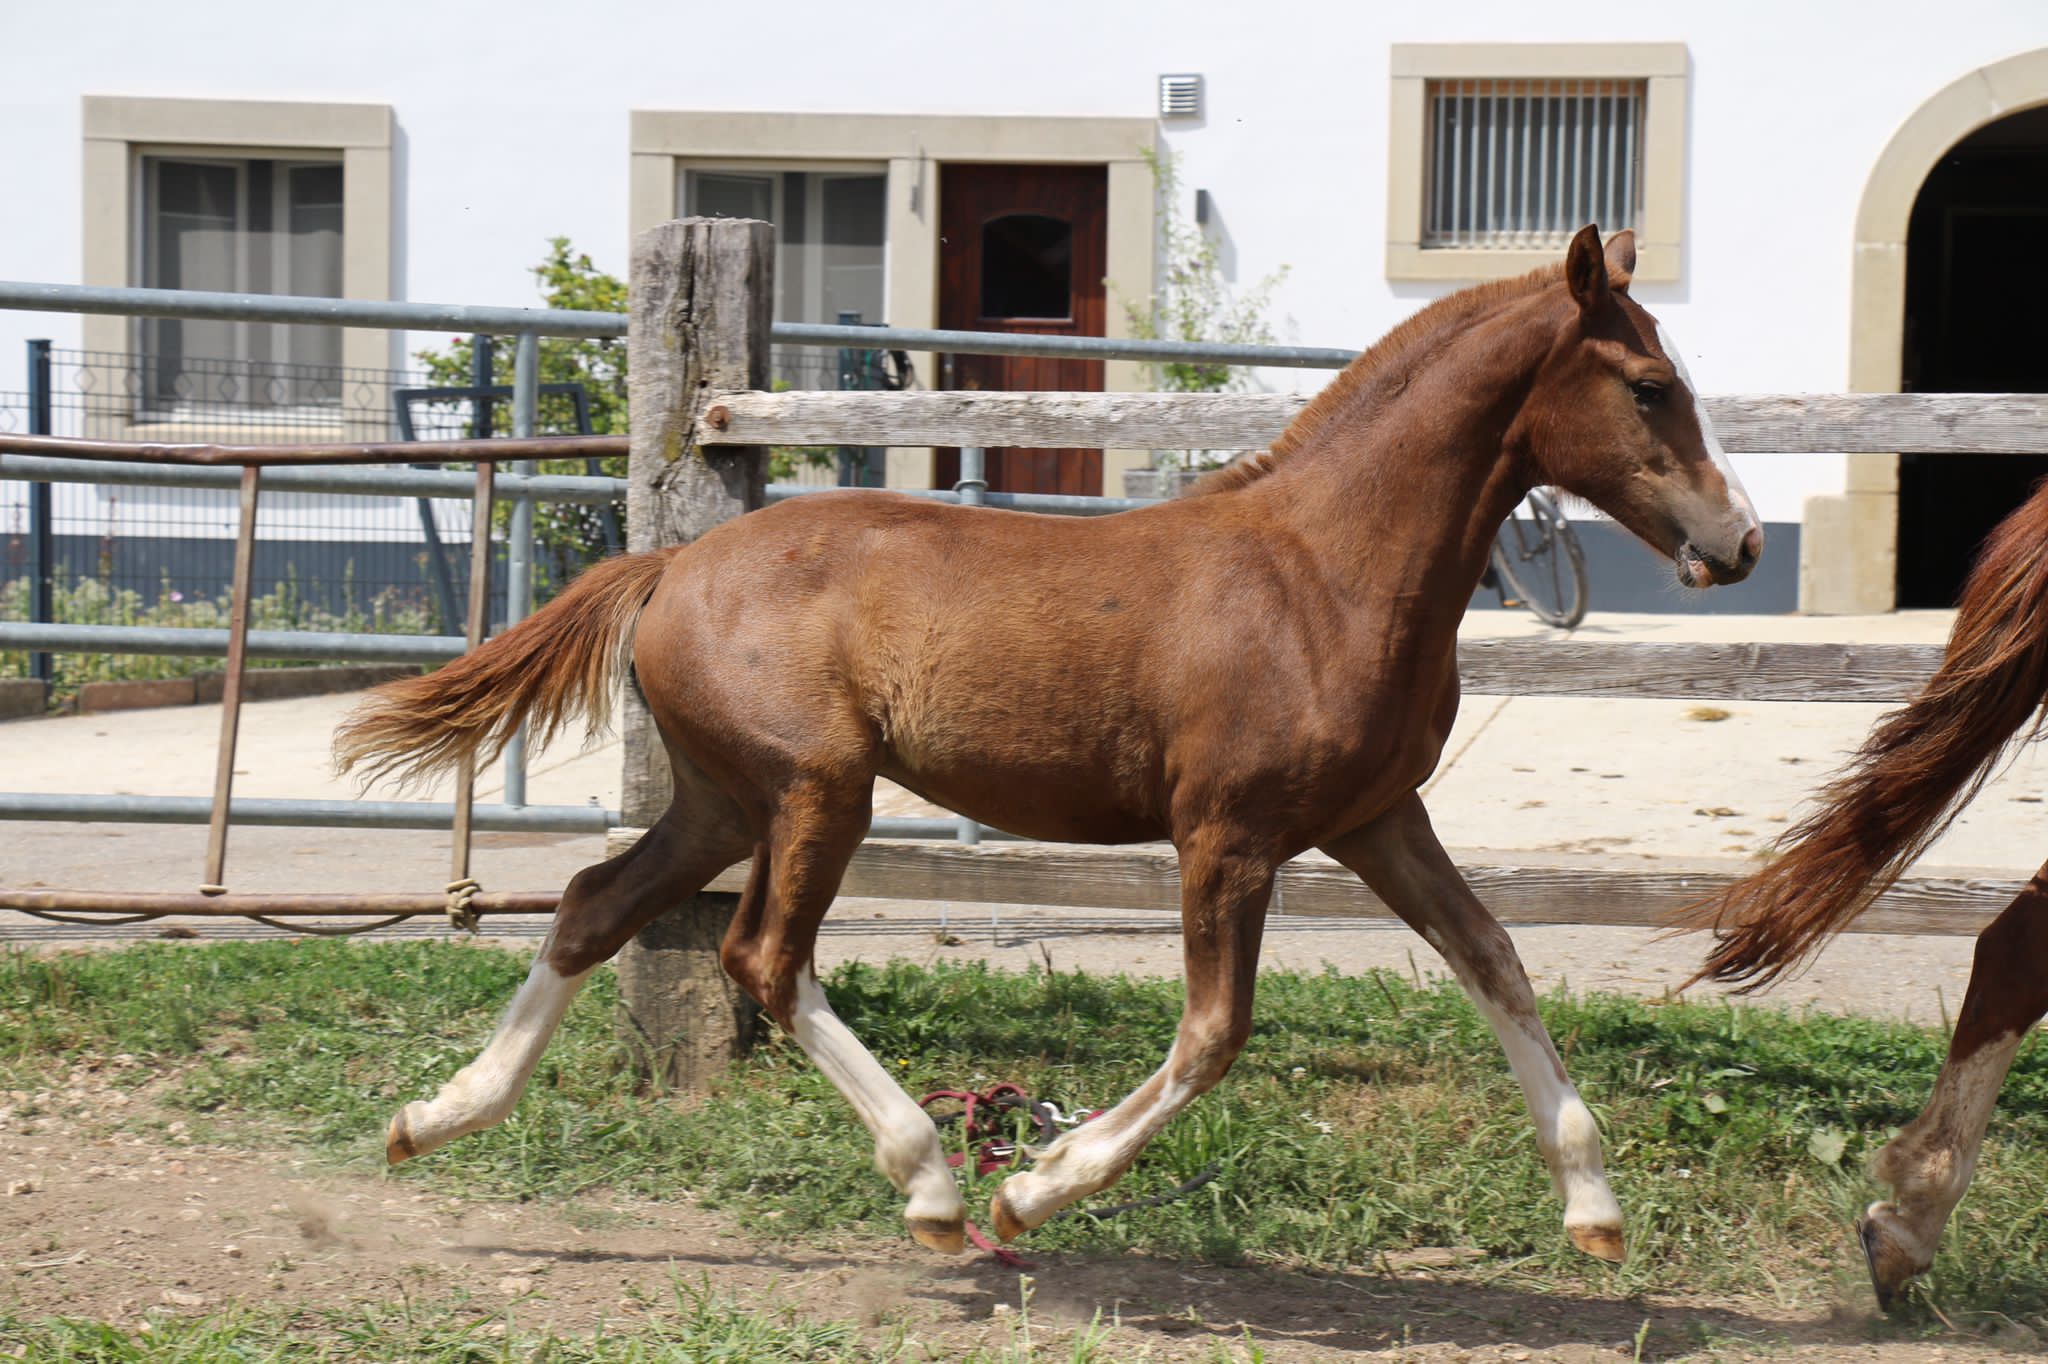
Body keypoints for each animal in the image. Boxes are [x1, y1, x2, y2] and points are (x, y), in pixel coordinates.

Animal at [336, 225, 1761, 1262]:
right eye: (1649, 387)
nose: (1739, 541)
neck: (1322, 572)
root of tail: (671, 564)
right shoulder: (1227, 832)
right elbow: (1213, 1031)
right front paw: (1036, 1187)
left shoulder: (1375, 819)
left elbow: (1494, 959)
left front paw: (1593, 1207)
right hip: (816, 790)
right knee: (761, 957)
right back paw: (932, 1184)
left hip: (725, 799)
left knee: (592, 901)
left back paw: (434, 1115)